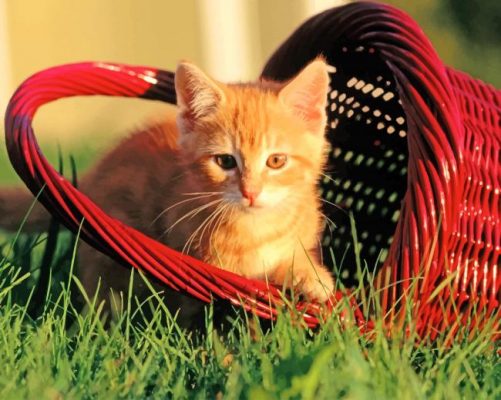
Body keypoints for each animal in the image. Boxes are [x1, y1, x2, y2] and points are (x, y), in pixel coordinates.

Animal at [1, 58, 336, 328]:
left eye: (276, 161)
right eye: (225, 162)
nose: (250, 192)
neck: (257, 228)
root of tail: (93, 175)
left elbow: (291, 258)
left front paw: (312, 277)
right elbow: (242, 281)